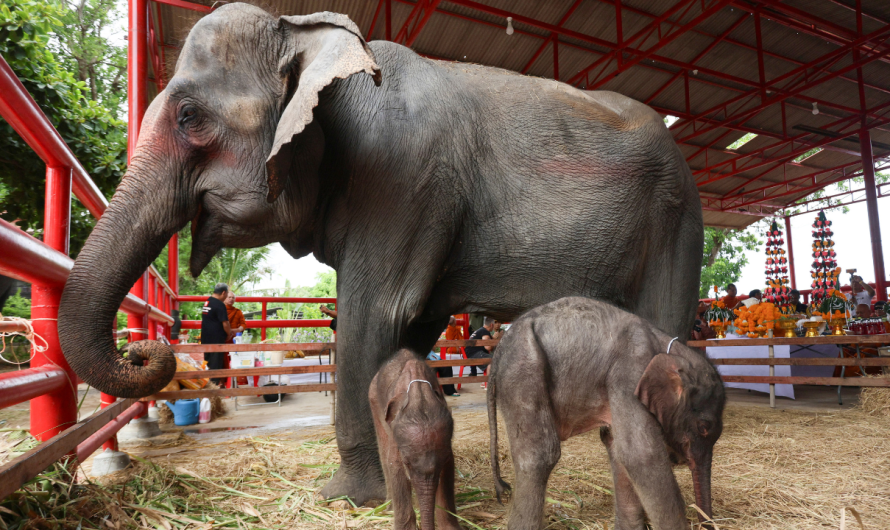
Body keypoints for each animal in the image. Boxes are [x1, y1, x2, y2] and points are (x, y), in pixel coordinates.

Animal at [59, 4, 704, 502]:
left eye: (190, 116)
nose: (147, 349)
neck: (309, 35)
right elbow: (407, 333)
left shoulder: (401, 181)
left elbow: (373, 316)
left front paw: (348, 497)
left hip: (677, 217)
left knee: (665, 324)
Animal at [368, 348, 462, 524]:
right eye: (407, 463)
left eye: (444, 459)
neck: (419, 392)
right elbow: (394, 464)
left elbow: (448, 471)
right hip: (373, 401)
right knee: (383, 453)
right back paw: (389, 507)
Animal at [486, 296, 720, 528]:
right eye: (703, 427)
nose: (707, 524)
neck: (669, 346)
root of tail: (499, 351)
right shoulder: (629, 373)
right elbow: (641, 455)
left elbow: (616, 448)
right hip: (523, 370)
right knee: (540, 456)